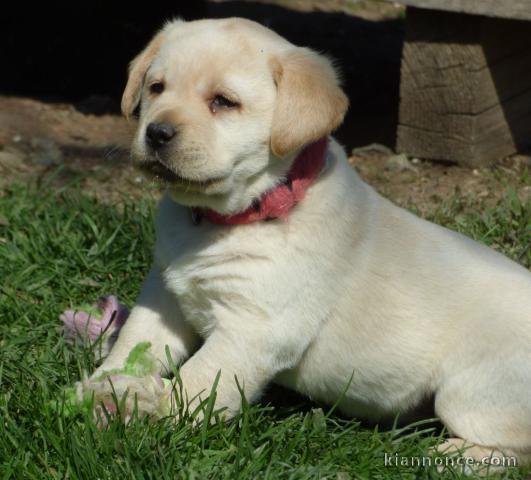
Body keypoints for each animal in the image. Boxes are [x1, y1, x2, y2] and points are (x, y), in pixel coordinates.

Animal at [87, 17, 531, 464]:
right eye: (156, 87)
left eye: (224, 102)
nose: (156, 132)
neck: (223, 219)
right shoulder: (163, 295)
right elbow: (134, 343)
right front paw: (100, 388)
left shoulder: (254, 329)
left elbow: (198, 381)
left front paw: (151, 420)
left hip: (470, 393)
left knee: (512, 448)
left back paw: (451, 454)